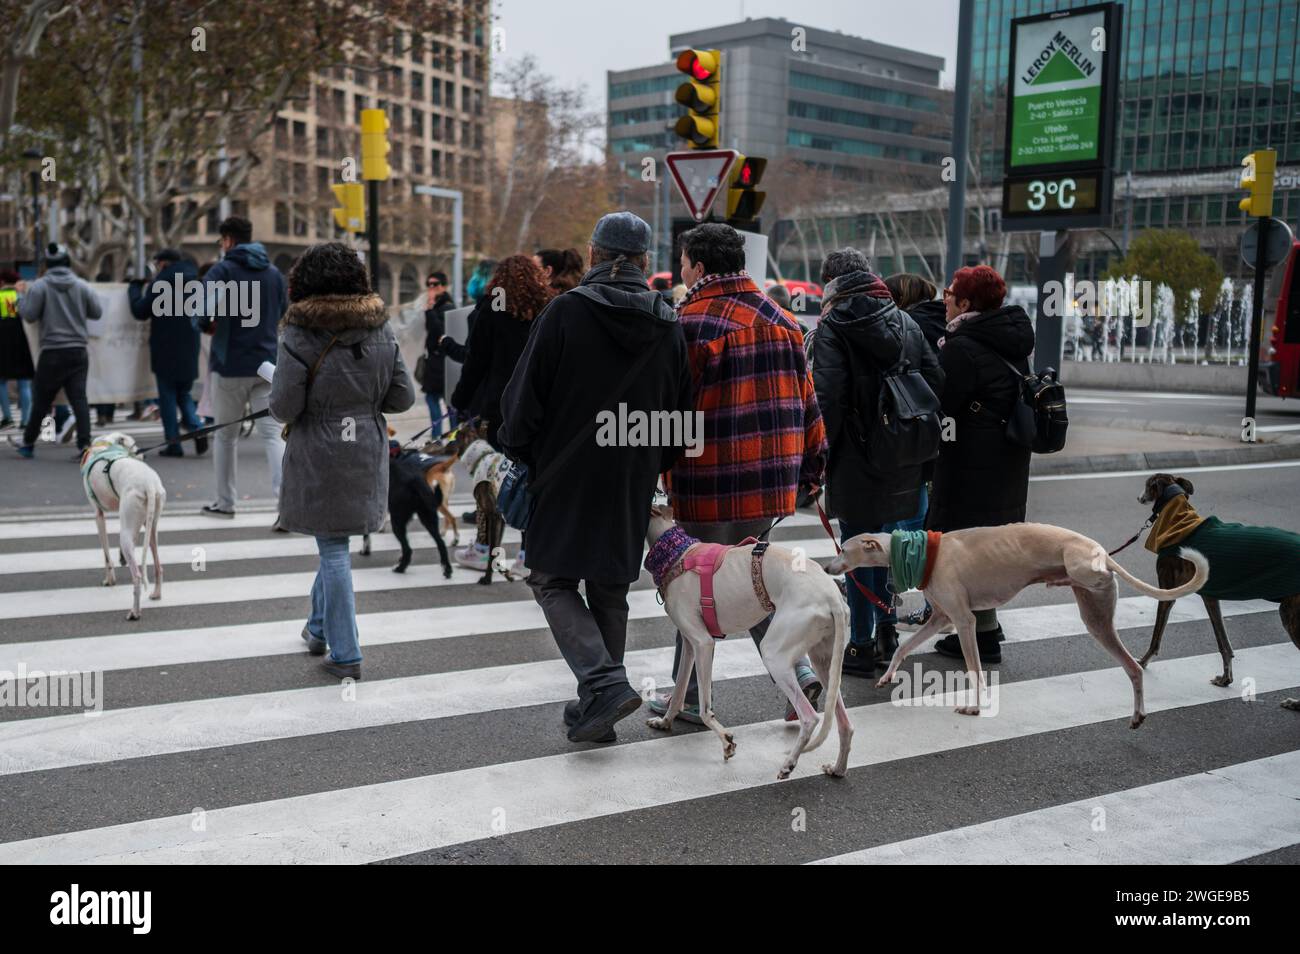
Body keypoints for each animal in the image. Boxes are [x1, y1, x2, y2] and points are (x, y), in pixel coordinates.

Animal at [81, 434, 166, 621]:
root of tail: (149, 484)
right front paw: (121, 558)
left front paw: (109, 580)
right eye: (134, 446)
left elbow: (106, 555)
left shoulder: (98, 515)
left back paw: (134, 612)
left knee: (138, 575)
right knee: (158, 565)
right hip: (150, 527)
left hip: (127, 530)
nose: (144, 455)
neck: (105, 445)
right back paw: (156, 594)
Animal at [642, 504, 852, 779]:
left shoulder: (704, 642)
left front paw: (727, 742)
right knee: (845, 723)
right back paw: (837, 768)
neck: (677, 554)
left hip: (775, 654)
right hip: (825, 660)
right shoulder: (689, 643)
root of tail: (833, 597)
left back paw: (789, 764)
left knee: (810, 717)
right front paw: (664, 722)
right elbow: (678, 691)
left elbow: (705, 709)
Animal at [832, 519, 1206, 727]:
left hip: (1084, 574)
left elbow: (975, 670)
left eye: (842, 549)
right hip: (1097, 619)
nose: (826, 568)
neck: (923, 554)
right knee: (1133, 668)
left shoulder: (963, 620)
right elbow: (904, 647)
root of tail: (1101, 553)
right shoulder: (941, 617)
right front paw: (887, 675)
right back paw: (1138, 714)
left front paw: (974, 706)